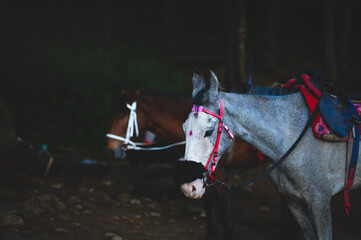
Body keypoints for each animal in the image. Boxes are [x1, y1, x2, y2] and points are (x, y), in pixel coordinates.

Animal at [107, 88, 268, 240]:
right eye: (112, 114)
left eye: (121, 115)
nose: (111, 149)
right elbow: (208, 201)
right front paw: (211, 233)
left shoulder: (216, 170)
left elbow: (222, 202)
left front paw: (227, 234)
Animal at [174, 71, 360, 240]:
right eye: (184, 128)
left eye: (209, 131)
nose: (189, 187)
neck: (292, 134)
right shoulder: (294, 203)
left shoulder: (320, 202)